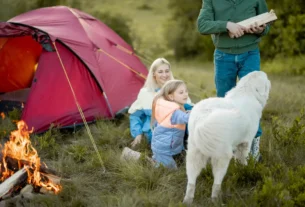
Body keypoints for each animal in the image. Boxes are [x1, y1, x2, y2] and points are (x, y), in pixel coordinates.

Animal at [182, 71, 270, 204]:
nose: (263, 72)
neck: (247, 91)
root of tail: (202, 119)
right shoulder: (245, 143)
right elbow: (243, 160)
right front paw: (245, 170)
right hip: (221, 158)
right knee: (216, 183)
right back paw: (216, 199)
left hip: (194, 155)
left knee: (191, 182)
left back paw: (187, 200)